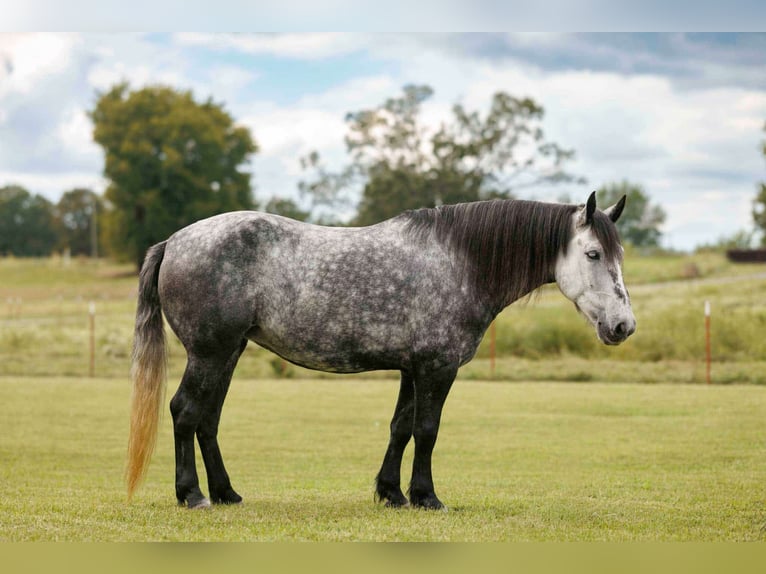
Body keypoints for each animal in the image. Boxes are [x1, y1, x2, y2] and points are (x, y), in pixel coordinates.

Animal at [126, 191, 635, 510]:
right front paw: (427, 497)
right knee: (185, 412)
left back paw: (227, 493)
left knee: (208, 420)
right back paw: (193, 495)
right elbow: (427, 431)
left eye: (620, 255)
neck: (460, 262)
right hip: (209, 354)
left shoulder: (413, 368)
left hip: (227, 354)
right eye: (593, 254)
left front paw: (392, 494)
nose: (623, 326)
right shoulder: (437, 368)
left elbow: (400, 428)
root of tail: (174, 241)